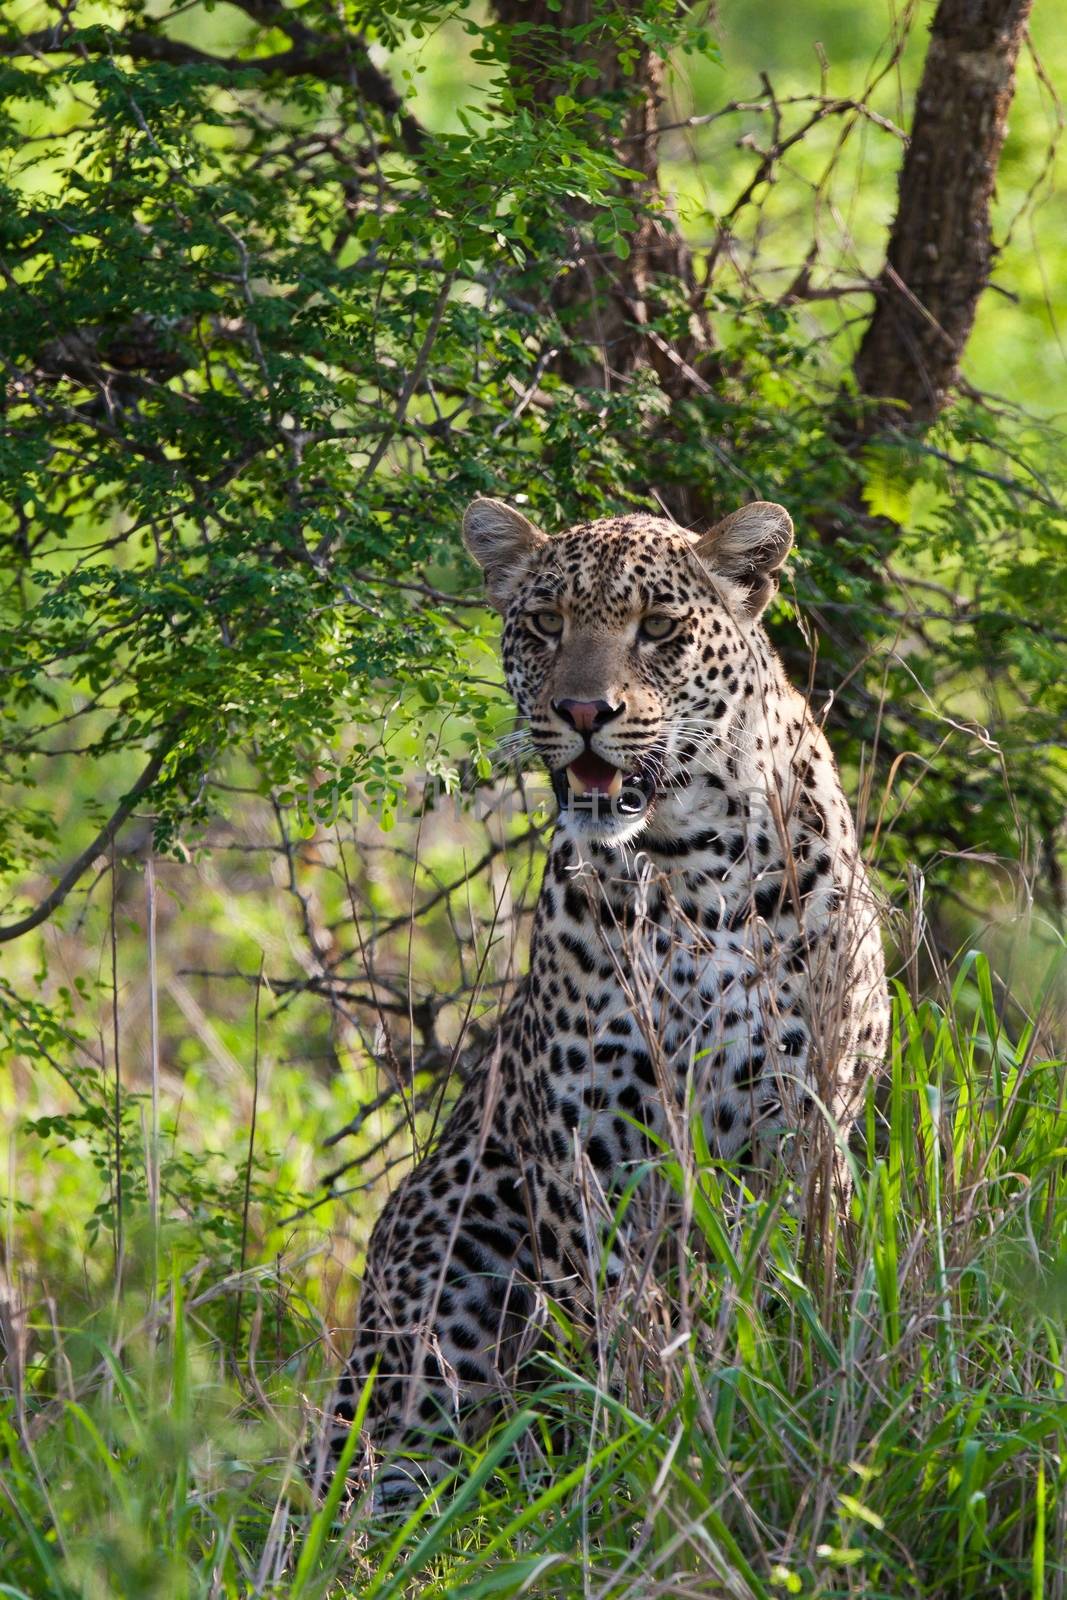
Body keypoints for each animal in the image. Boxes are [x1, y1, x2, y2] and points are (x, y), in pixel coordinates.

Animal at [313, 492, 889, 1504]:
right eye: (545, 624)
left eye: (656, 629)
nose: (582, 711)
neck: (696, 869)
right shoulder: (582, 1152)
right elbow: (625, 1327)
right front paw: (654, 1452)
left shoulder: (810, 1124)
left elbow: (796, 1287)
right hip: (448, 1266)